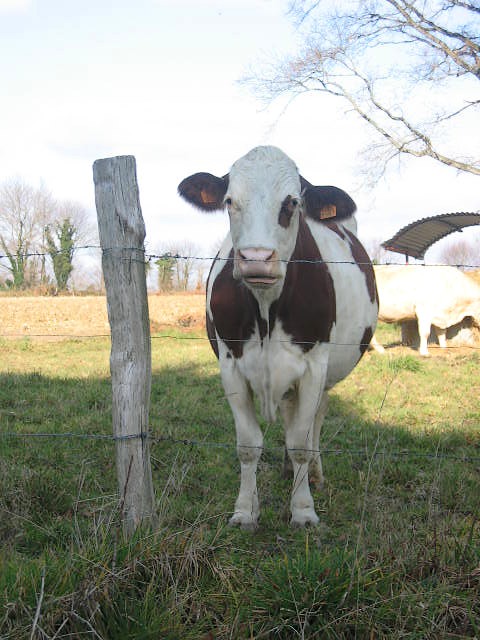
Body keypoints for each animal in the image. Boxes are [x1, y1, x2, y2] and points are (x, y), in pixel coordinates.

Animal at [178, 146, 376, 528]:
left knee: (313, 421)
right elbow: (248, 444)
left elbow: (300, 441)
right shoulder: (231, 365)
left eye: (292, 202)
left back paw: (313, 474)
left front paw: (303, 509)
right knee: (289, 413)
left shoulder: (314, 366)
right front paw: (245, 511)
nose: (256, 259)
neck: (266, 308)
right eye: (229, 201)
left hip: (326, 375)